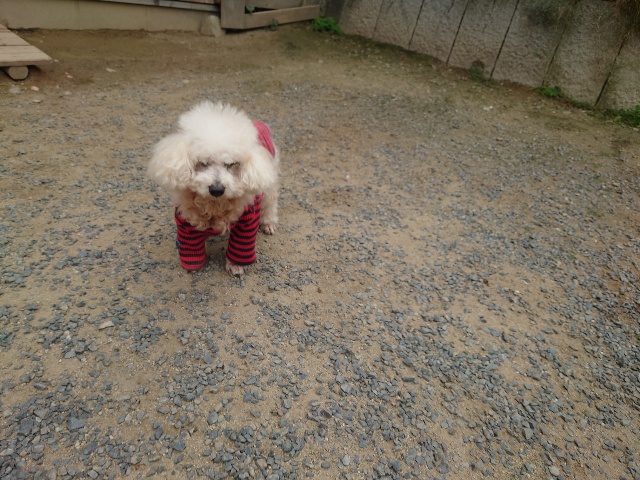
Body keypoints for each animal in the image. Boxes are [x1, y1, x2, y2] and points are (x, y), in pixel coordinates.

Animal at [148, 101, 279, 275]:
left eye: (231, 164)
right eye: (202, 163)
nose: (217, 190)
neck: (214, 206)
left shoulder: (247, 223)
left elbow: (239, 248)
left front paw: (234, 265)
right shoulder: (185, 225)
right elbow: (191, 250)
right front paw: (193, 266)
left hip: (269, 185)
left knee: (270, 203)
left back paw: (268, 223)